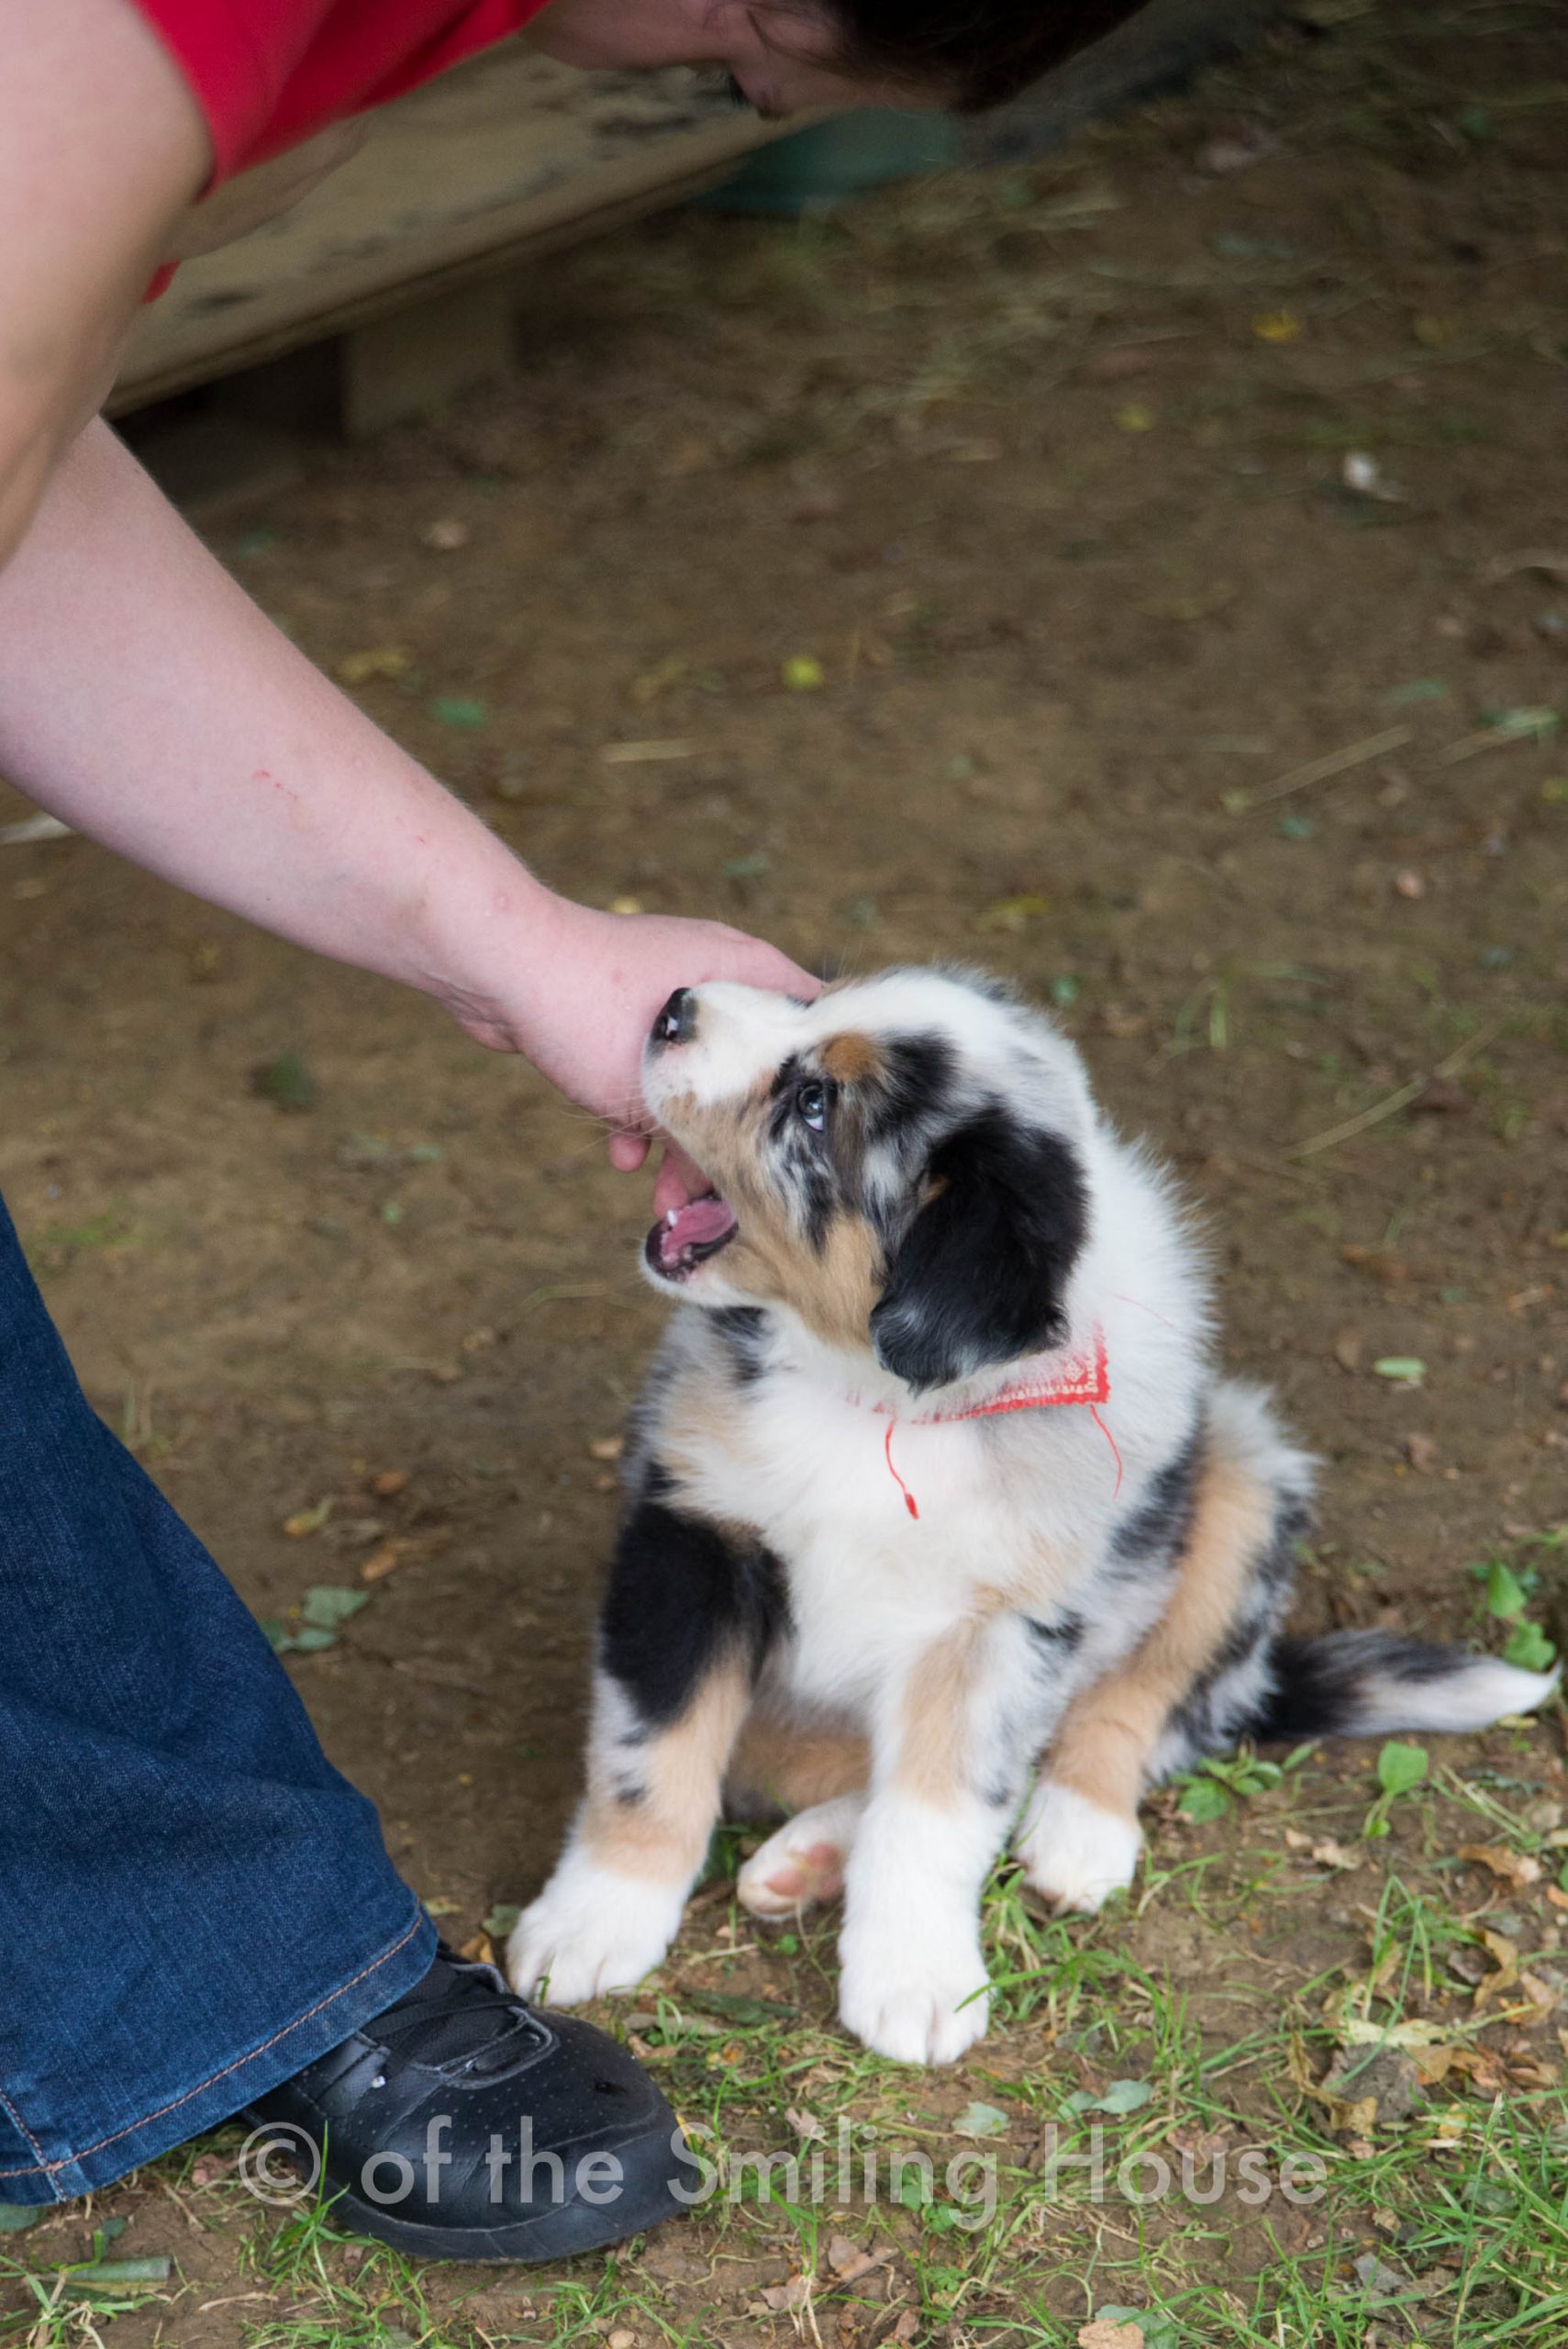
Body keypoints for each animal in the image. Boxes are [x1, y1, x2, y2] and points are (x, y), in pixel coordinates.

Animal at [509, 968, 1556, 2064]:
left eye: (815, 1103)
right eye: (813, 997)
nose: (672, 1003)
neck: (878, 1398)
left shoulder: (1001, 1622)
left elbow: (940, 1807)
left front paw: (918, 1982)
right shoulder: (693, 1531)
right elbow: (651, 1751)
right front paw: (593, 1923)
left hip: (1237, 1476)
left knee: (1141, 1709)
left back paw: (1072, 1831)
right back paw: (807, 1857)